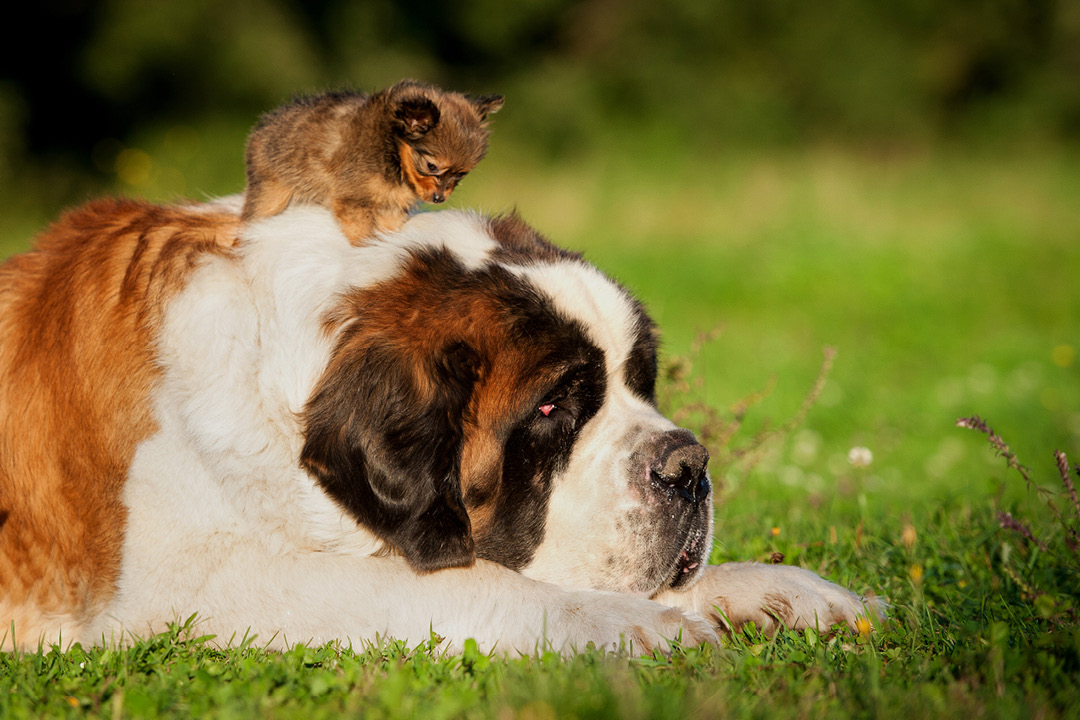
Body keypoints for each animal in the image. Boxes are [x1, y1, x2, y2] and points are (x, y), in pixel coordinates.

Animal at [0, 195, 876, 651]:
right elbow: (462, 580)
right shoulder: (185, 586)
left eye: (640, 381)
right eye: (552, 407)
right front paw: (640, 625)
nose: (688, 467)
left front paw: (785, 592)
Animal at [240, 78, 501, 241]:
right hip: (272, 193)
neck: (394, 155)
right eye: (431, 166)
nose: (439, 199)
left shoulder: (391, 208)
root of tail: (263, 127)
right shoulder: (354, 202)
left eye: (461, 174)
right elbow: (364, 235)